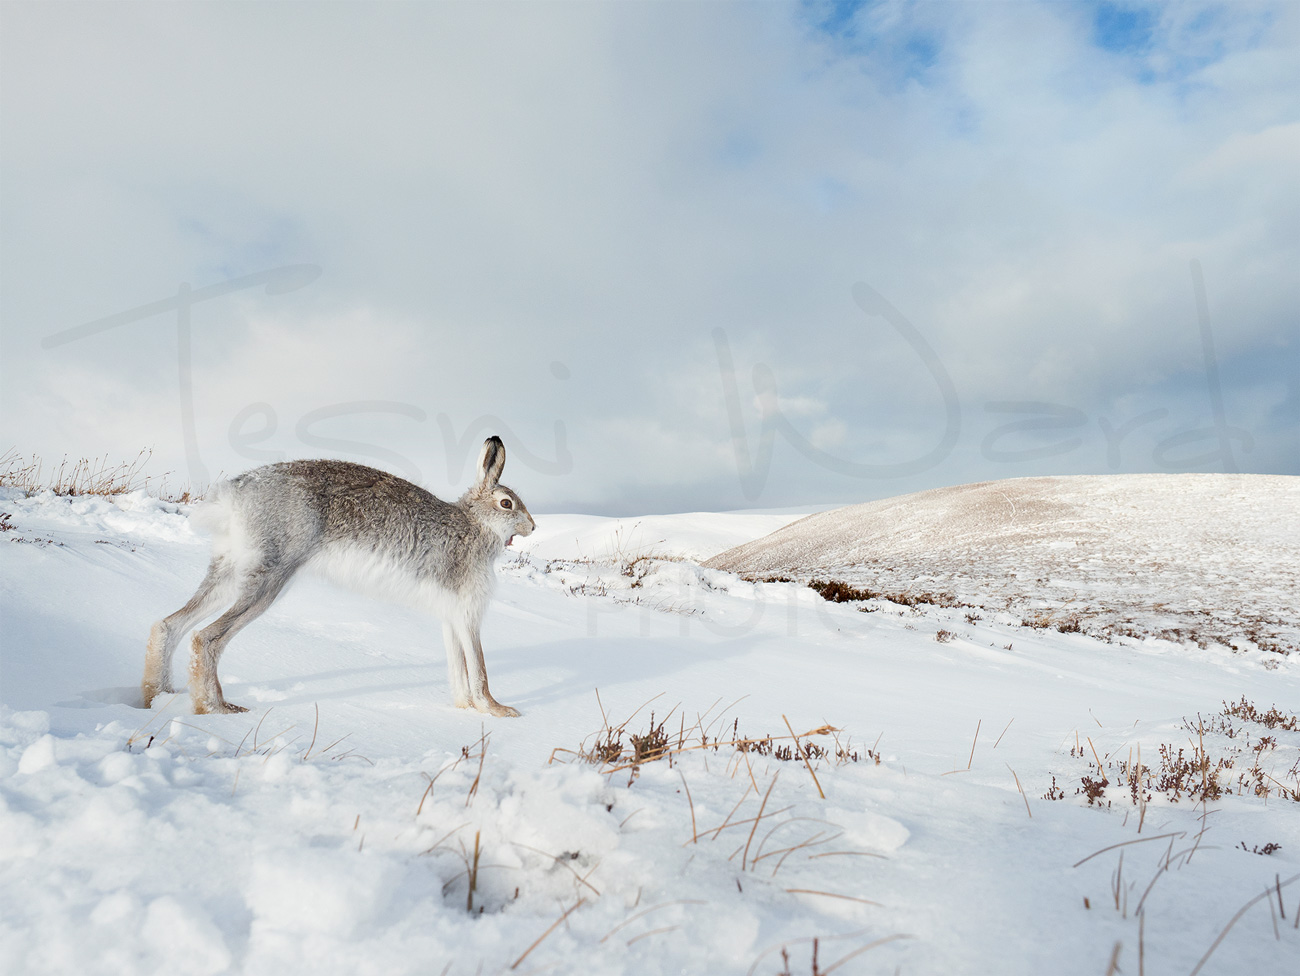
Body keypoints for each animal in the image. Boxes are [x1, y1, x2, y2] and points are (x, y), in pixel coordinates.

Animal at [142, 436, 535, 717]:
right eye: (506, 504)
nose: (532, 527)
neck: (475, 524)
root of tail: (231, 497)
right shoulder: (467, 611)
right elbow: (479, 668)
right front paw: (498, 710)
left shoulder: (450, 616)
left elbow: (457, 667)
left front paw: (464, 709)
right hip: (270, 576)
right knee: (207, 638)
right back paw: (218, 709)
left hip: (230, 571)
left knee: (170, 625)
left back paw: (158, 697)